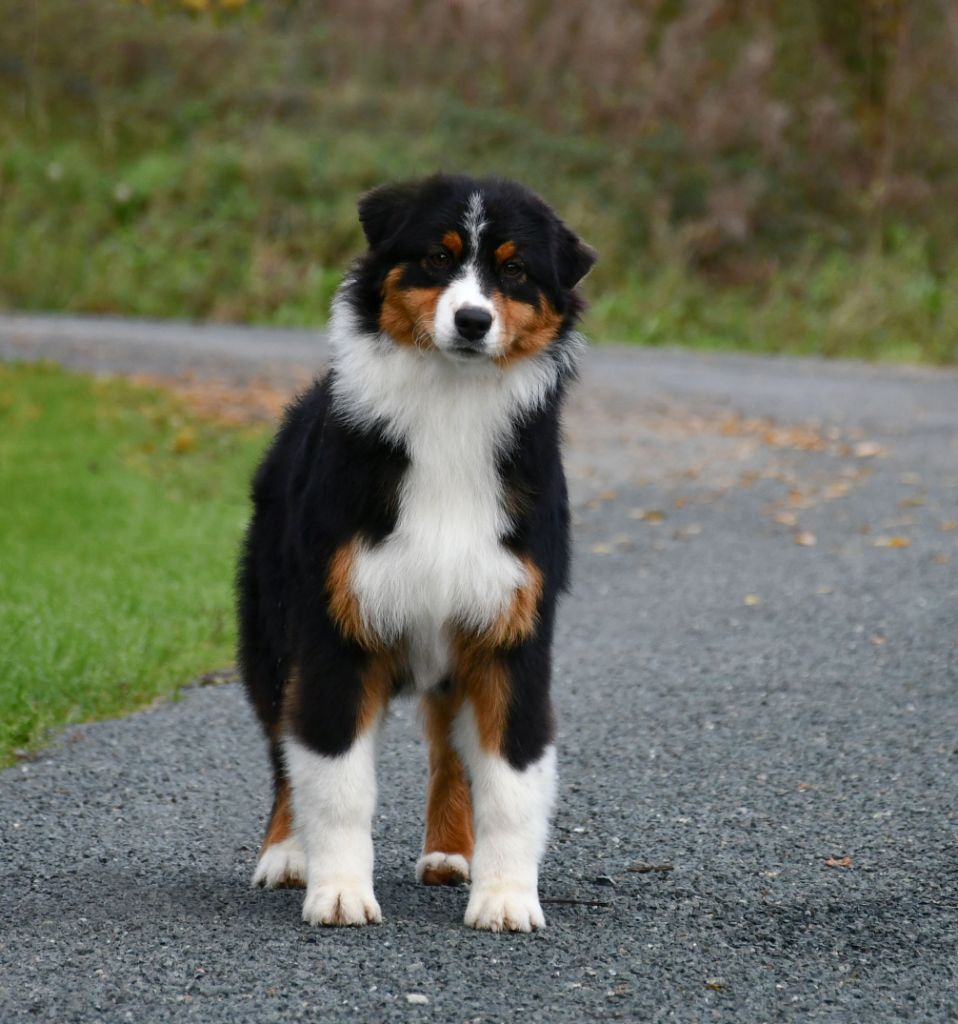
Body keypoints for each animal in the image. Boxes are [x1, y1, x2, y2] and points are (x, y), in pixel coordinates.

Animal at [236, 174, 593, 929]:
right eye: (437, 256)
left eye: (515, 271)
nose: (473, 321)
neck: (451, 411)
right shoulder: (336, 630)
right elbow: (334, 773)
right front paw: (340, 892)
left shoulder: (512, 634)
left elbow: (511, 779)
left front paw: (506, 897)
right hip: (271, 634)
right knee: (284, 748)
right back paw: (286, 853)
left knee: (449, 754)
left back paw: (451, 854)